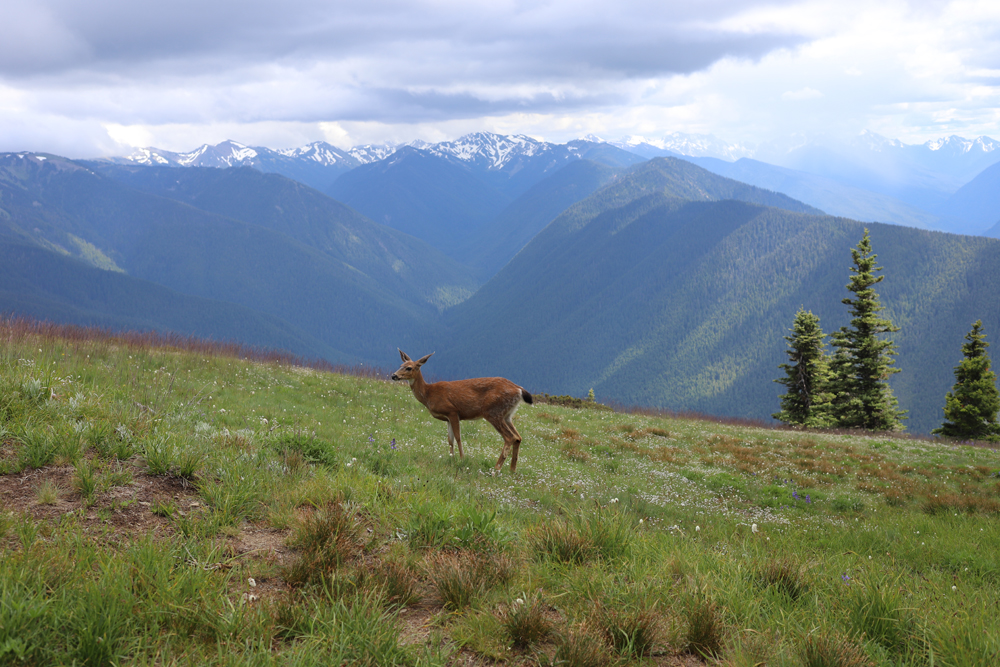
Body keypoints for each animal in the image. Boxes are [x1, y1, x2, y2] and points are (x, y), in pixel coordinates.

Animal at [388, 352, 532, 472]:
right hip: (507, 415)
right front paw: (451, 459)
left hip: (493, 412)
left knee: (510, 437)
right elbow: (450, 439)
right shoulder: (447, 418)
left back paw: (496, 469)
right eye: (400, 365)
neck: (428, 394)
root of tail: (519, 389)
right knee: (518, 437)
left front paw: (462, 459)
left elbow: (458, 437)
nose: (394, 375)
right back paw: (512, 470)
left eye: (409, 368)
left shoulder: (452, 411)